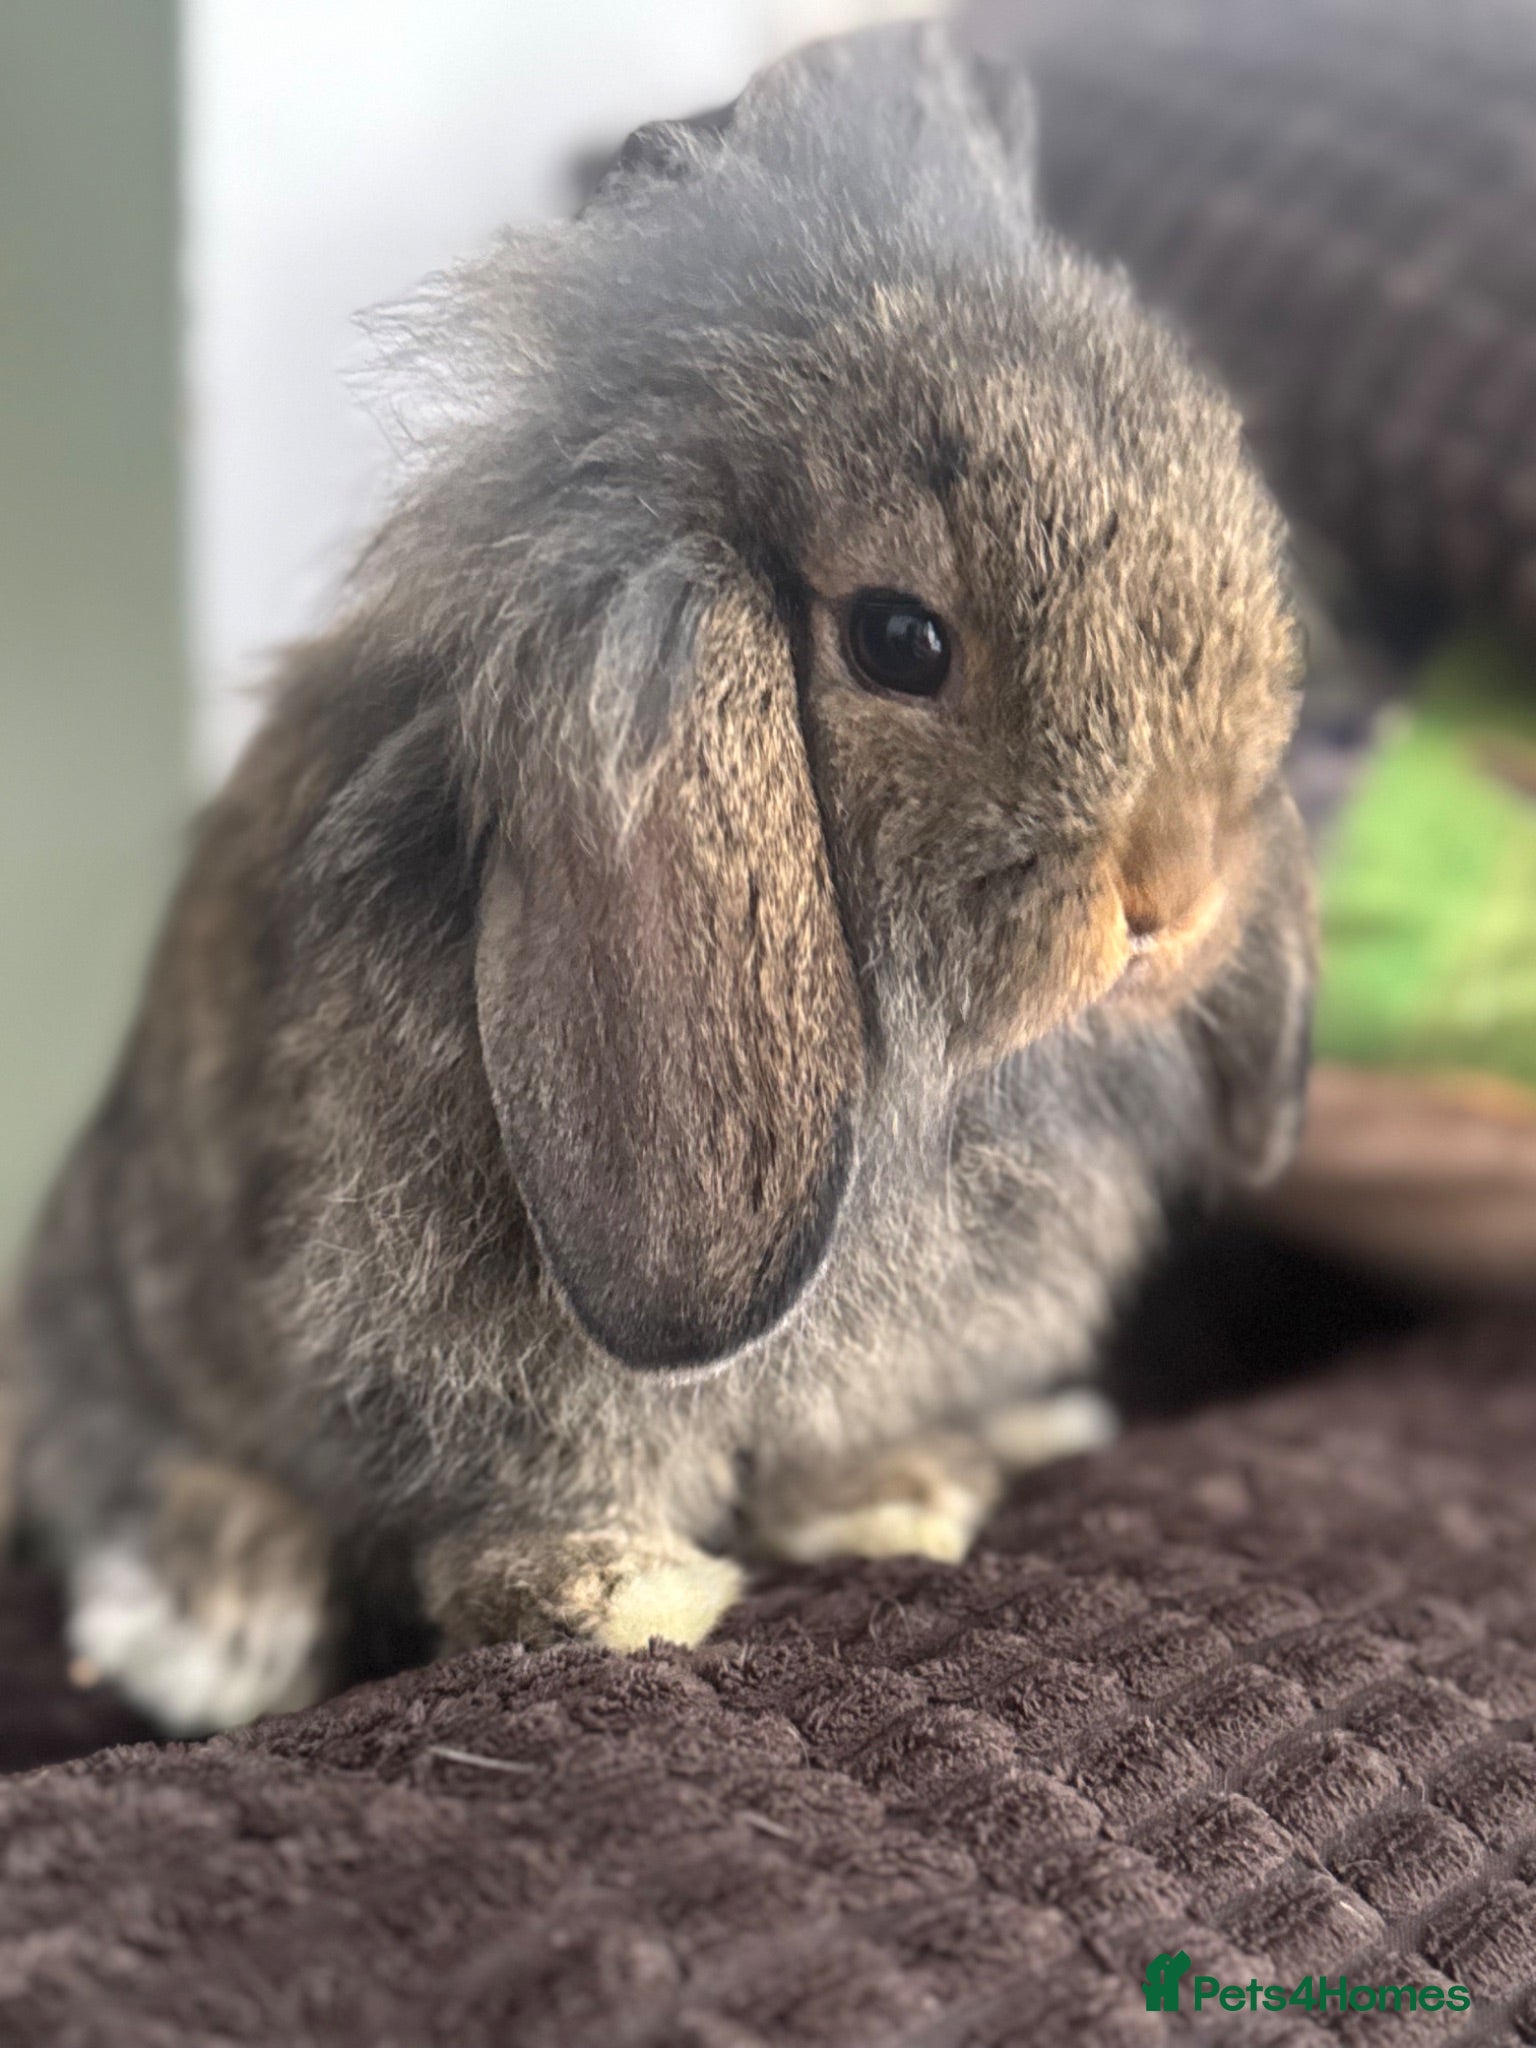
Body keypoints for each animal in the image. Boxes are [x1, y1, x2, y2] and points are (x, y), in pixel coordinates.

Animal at [4, 23, 1313, 1735]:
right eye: (901, 640)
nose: (1178, 889)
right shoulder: (496, 1376)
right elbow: (527, 1514)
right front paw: (627, 1599)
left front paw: (900, 1499)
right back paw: (221, 1628)